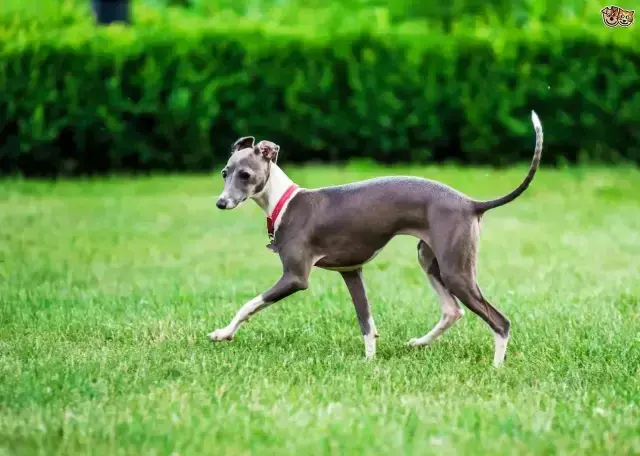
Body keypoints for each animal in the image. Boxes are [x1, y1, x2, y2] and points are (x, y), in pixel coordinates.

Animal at [212, 110, 544, 366]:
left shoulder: (295, 277)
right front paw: (370, 362)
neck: (284, 202)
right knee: (452, 310)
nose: (221, 203)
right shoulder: (351, 271)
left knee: (500, 321)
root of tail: (471, 203)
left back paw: (496, 367)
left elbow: (249, 304)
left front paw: (223, 333)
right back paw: (420, 343)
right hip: (429, 259)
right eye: (224, 173)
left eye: (245, 174)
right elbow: (367, 323)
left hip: (456, 270)